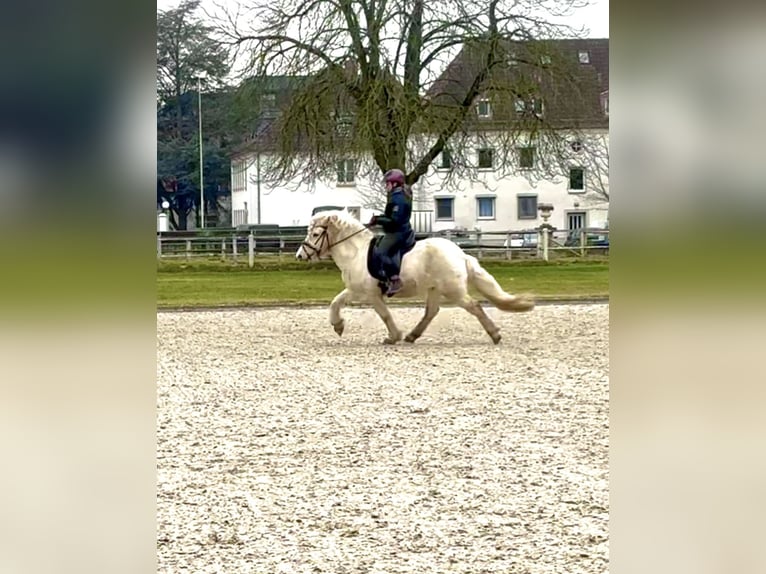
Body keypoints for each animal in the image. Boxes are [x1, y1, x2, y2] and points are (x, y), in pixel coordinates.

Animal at [294, 212, 536, 346]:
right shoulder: (355, 289)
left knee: (474, 306)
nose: (300, 256)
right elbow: (336, 302)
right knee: (431, 312)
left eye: (315, 234)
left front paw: (393, 336)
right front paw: (338, 325)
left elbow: (384, 314)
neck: (357, 252)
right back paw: (412, 336)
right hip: (435, 289)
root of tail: (460, 253)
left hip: (453, 290)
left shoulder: (370, 293)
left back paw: (494, 334)